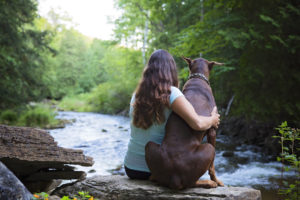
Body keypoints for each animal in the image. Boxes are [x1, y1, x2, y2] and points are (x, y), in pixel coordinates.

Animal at [144, 56, 224, 189]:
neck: (198, 78)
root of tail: (174, 178)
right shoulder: (212, 130)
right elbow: (212, 167)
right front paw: (217, 180)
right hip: (209, 149)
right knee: (191, 183)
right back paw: (209, 183)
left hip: (149, 145)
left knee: (154, 177)